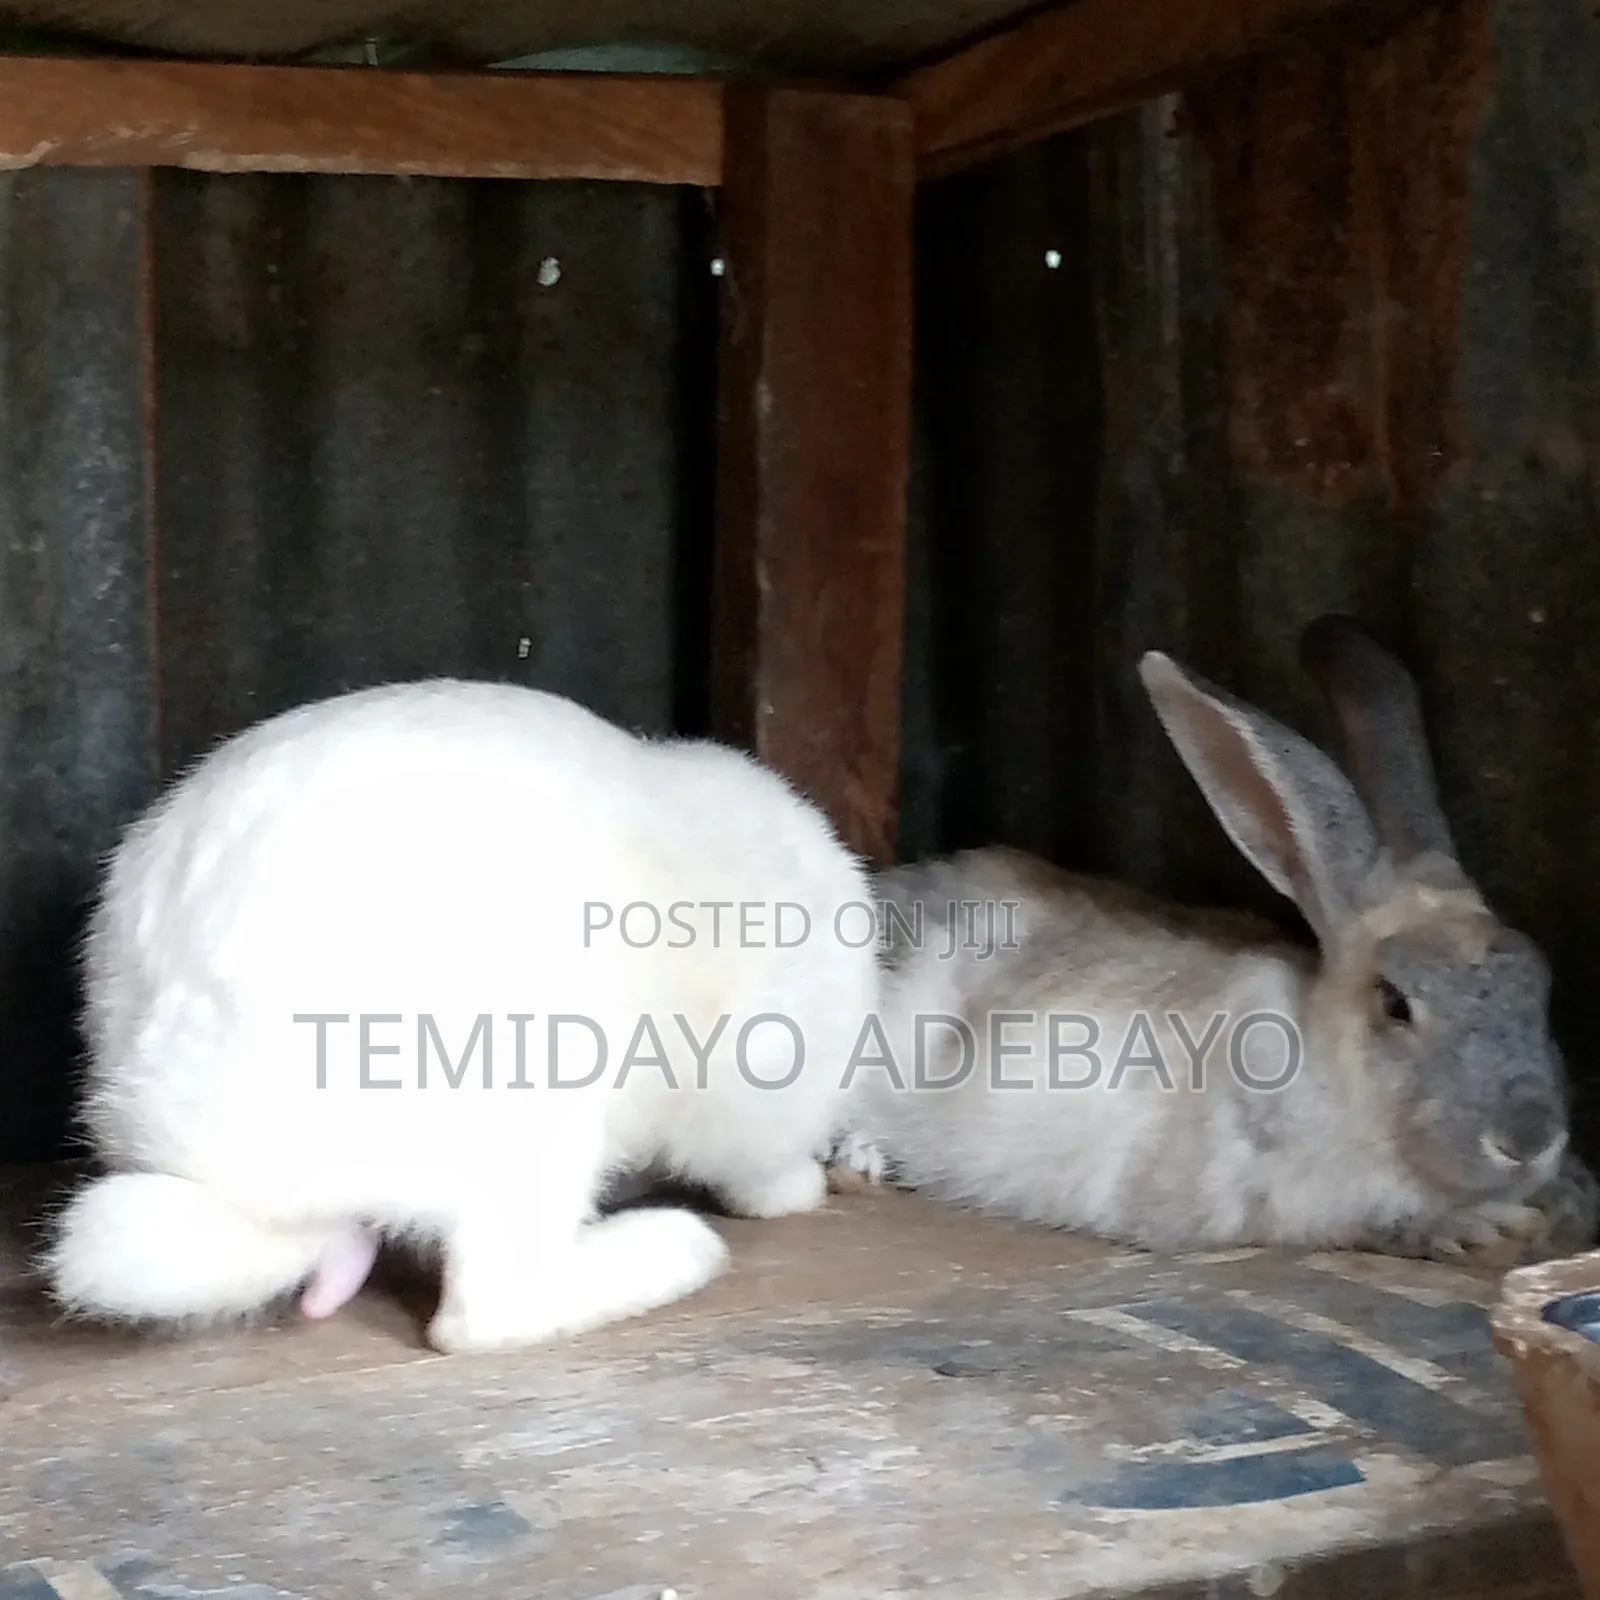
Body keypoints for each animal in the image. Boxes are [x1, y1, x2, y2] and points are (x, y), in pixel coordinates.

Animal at [41, 677, 880, 1352]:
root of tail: (211, 1158)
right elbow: (760, 1159)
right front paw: (796, 1191)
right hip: (534, 1117)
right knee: (482, 1313)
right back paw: (681, 1249)